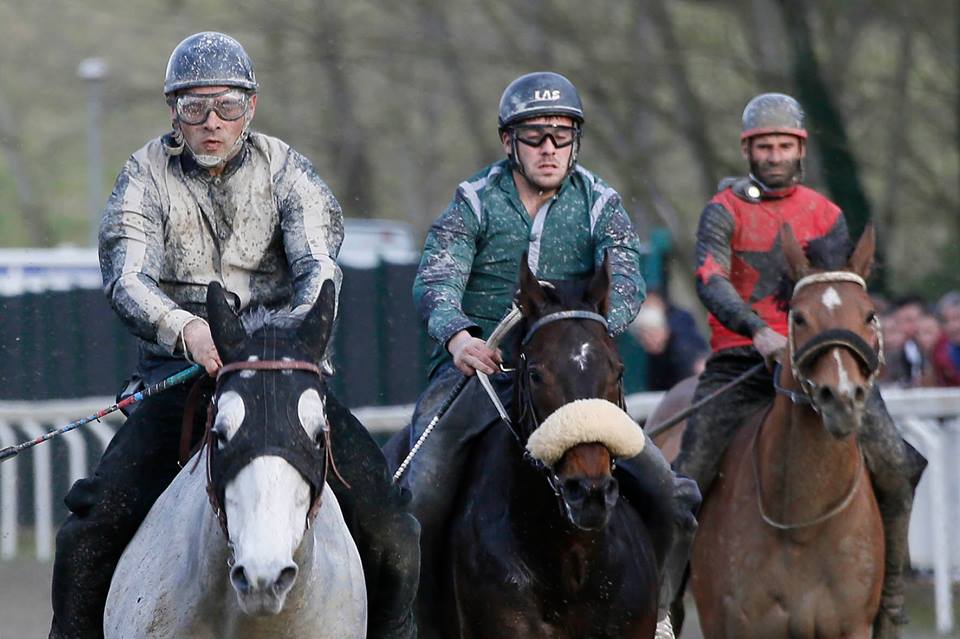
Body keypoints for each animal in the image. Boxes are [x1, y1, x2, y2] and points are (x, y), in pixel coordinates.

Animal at [652, 226, 884, 639]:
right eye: (800, 317)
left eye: (869, 315)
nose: (842, 396)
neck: (802, 525)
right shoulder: (735, 625)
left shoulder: (851, 626)